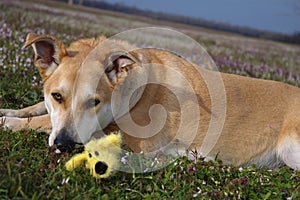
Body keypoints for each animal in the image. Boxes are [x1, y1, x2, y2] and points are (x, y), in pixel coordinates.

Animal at [0, 33, 300, 170]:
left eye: (94, 102)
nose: (64, 144)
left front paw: (8, 122)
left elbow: (39, 121)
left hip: (291, 147)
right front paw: (9, 109)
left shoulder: (123, 134)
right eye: (57, 96)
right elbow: (38, 109)